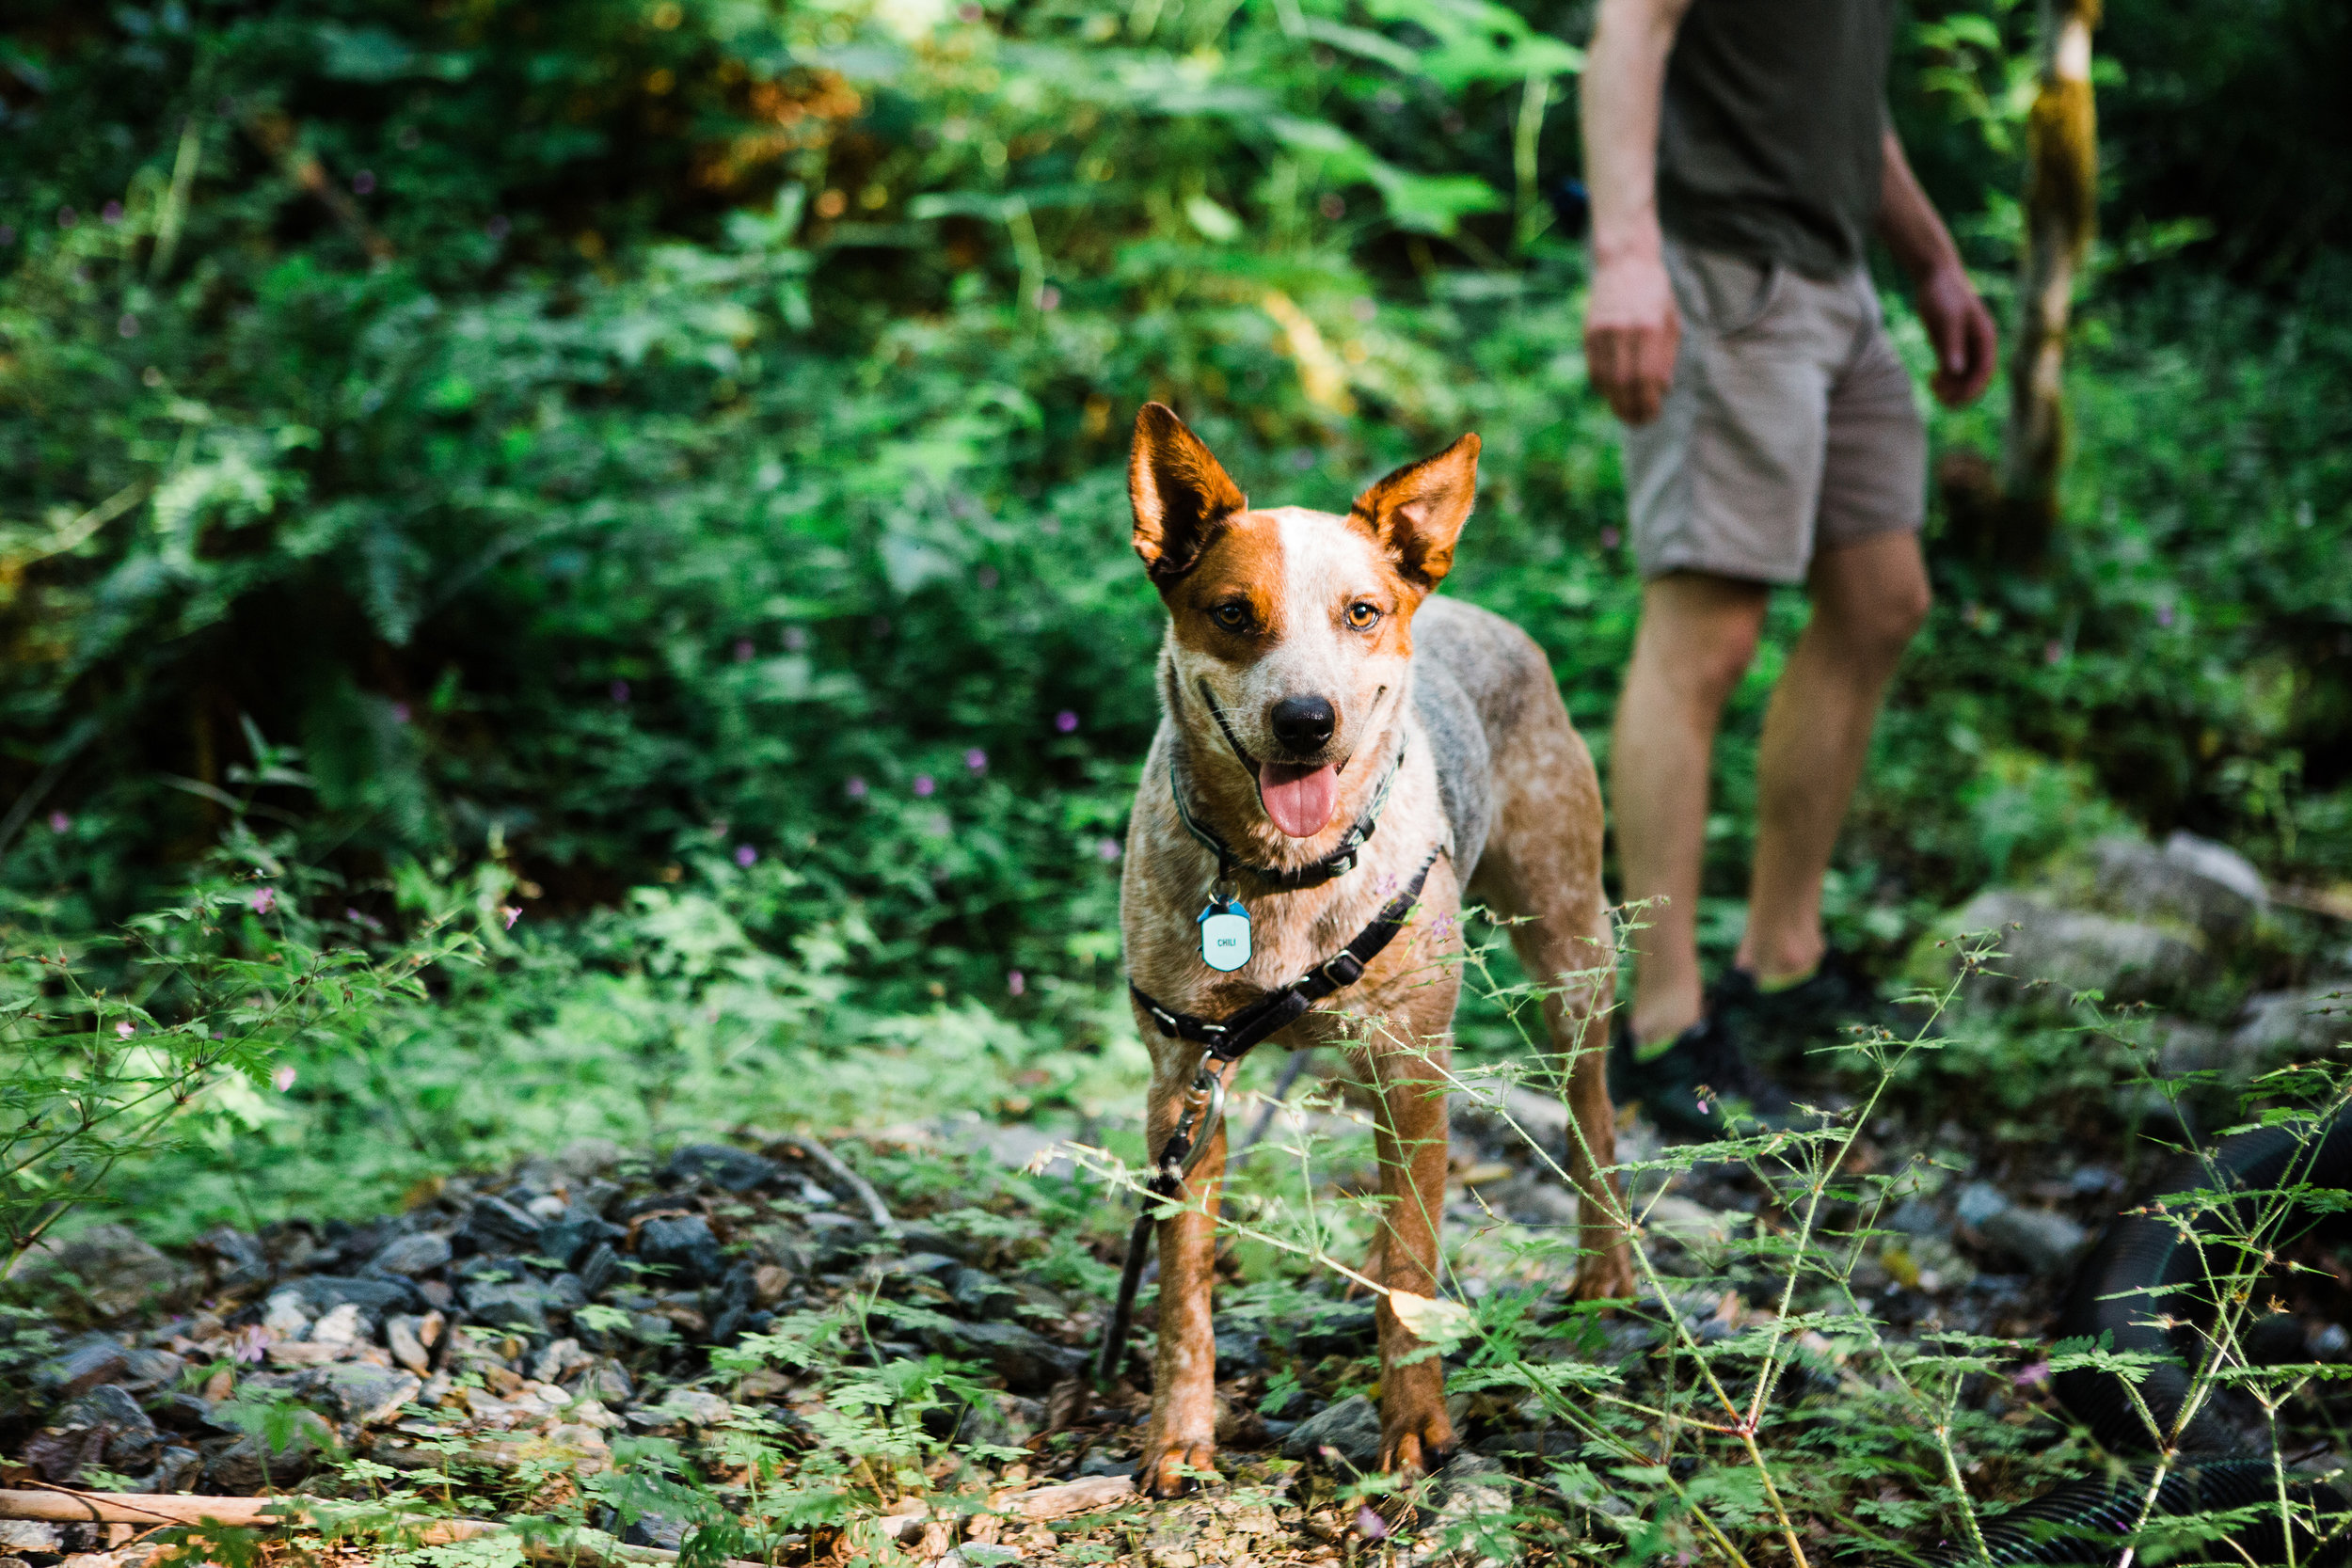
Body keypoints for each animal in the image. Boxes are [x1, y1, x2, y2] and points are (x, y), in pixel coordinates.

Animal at [1120, 404, 1637, 1495]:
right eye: (1233, 612)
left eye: (1361, 612)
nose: (1306, 722)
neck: (1279, 878)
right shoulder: (1184, 1073)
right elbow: (1182, 1291)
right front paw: (1177, 1439)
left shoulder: (1414, 1073)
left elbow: (1408, 1265)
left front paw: (1418, 1425)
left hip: (1569, 949)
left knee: (1592, 1108)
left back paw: (1606, 1263)